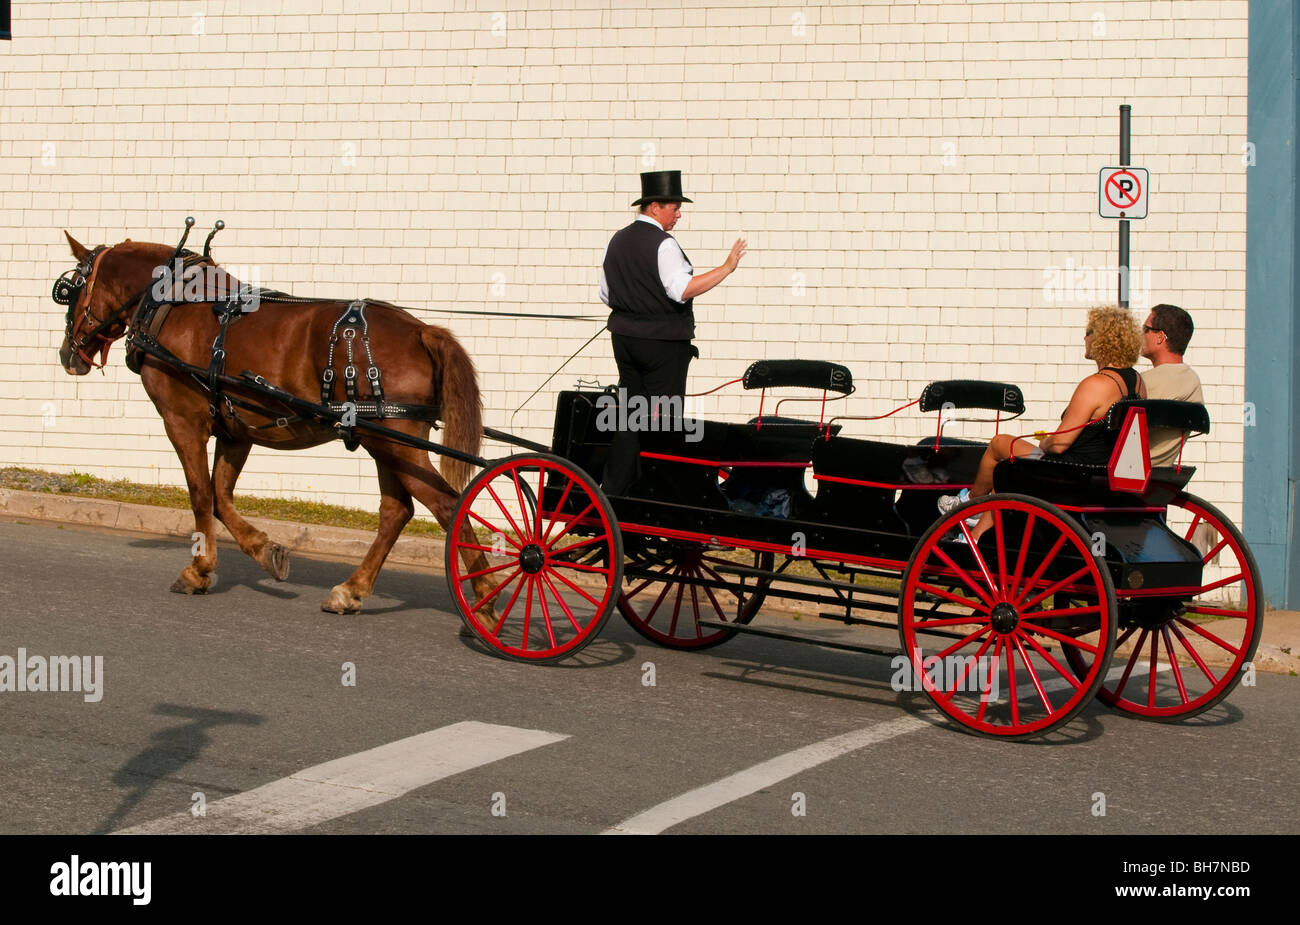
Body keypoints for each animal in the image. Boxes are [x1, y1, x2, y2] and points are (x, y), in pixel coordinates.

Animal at [55, 227, 493, 610]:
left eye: (71, 289)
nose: (67, 354)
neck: (174, 307)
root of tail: (421, 330)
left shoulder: (182, 422)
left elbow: (200, 494)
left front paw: (199, 569)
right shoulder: (235, 430)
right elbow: (221, 496)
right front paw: (265, 551)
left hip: (393, 440)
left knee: (448, 504)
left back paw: (486, 595)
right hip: (385, 440)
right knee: (396, 511)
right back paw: (351, 590)